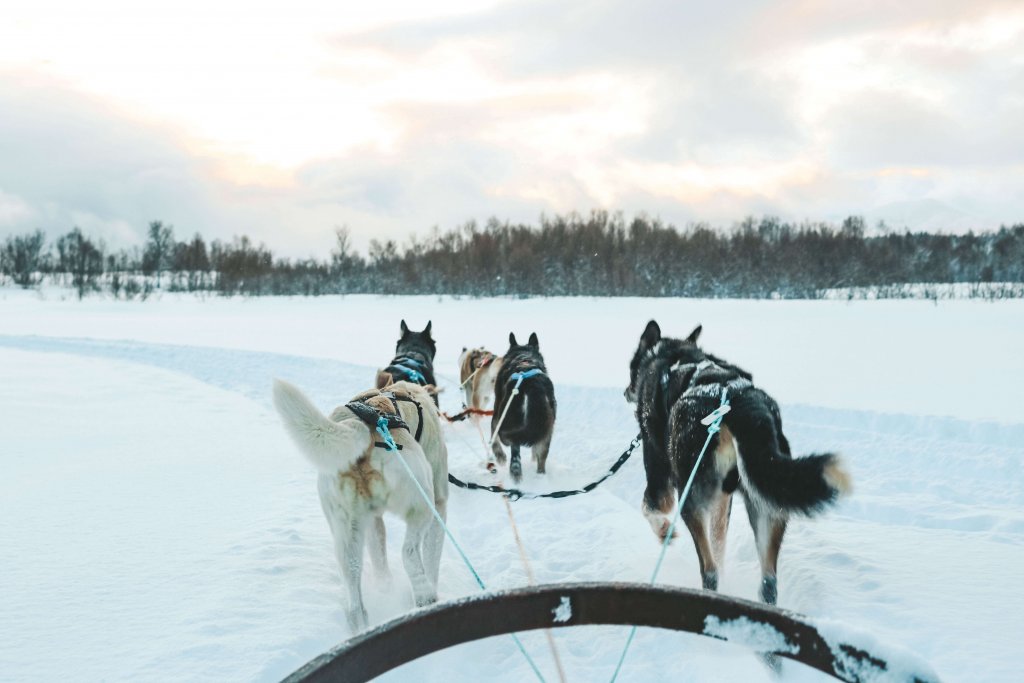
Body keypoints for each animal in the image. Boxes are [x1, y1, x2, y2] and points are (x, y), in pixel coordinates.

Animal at [272, 378, 448, 630]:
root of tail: (362, 430)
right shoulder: (440, 506)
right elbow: (433, 557)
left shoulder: (373, 520)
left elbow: (380, 559)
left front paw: (386, 588)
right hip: (423, 503)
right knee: (409, 553)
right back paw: (425, 597)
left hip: (348, 533)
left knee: (355, 594)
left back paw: (363, 625)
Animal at [489, 331, 557, 483]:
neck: (524, 357)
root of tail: (530, 387)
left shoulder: (497, 413)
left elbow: (493, 436)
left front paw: (500, 457)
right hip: (546, 427)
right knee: (540, 458)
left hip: (505, 418)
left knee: (513, 451)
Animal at [626, 321, 851, 602]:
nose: (626, 391)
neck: (671, 357)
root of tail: (737, 402)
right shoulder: (724, 500)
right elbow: (719, 540)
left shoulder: (660, 477)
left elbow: (650, 507)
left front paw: (664, 531)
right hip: (766, 503)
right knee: (767, 581)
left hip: (691, 496)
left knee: (710, 569)